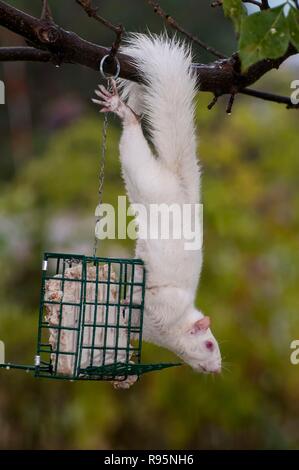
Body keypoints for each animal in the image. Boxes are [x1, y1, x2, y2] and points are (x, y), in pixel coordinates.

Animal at [94, 34, 223, 374]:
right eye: (209, 344)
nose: (217, 368)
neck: (170, 330)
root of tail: (183, 189)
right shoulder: (160, 303)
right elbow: (139, 300)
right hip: (146, 178)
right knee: (133, 140)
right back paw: (122, 111)